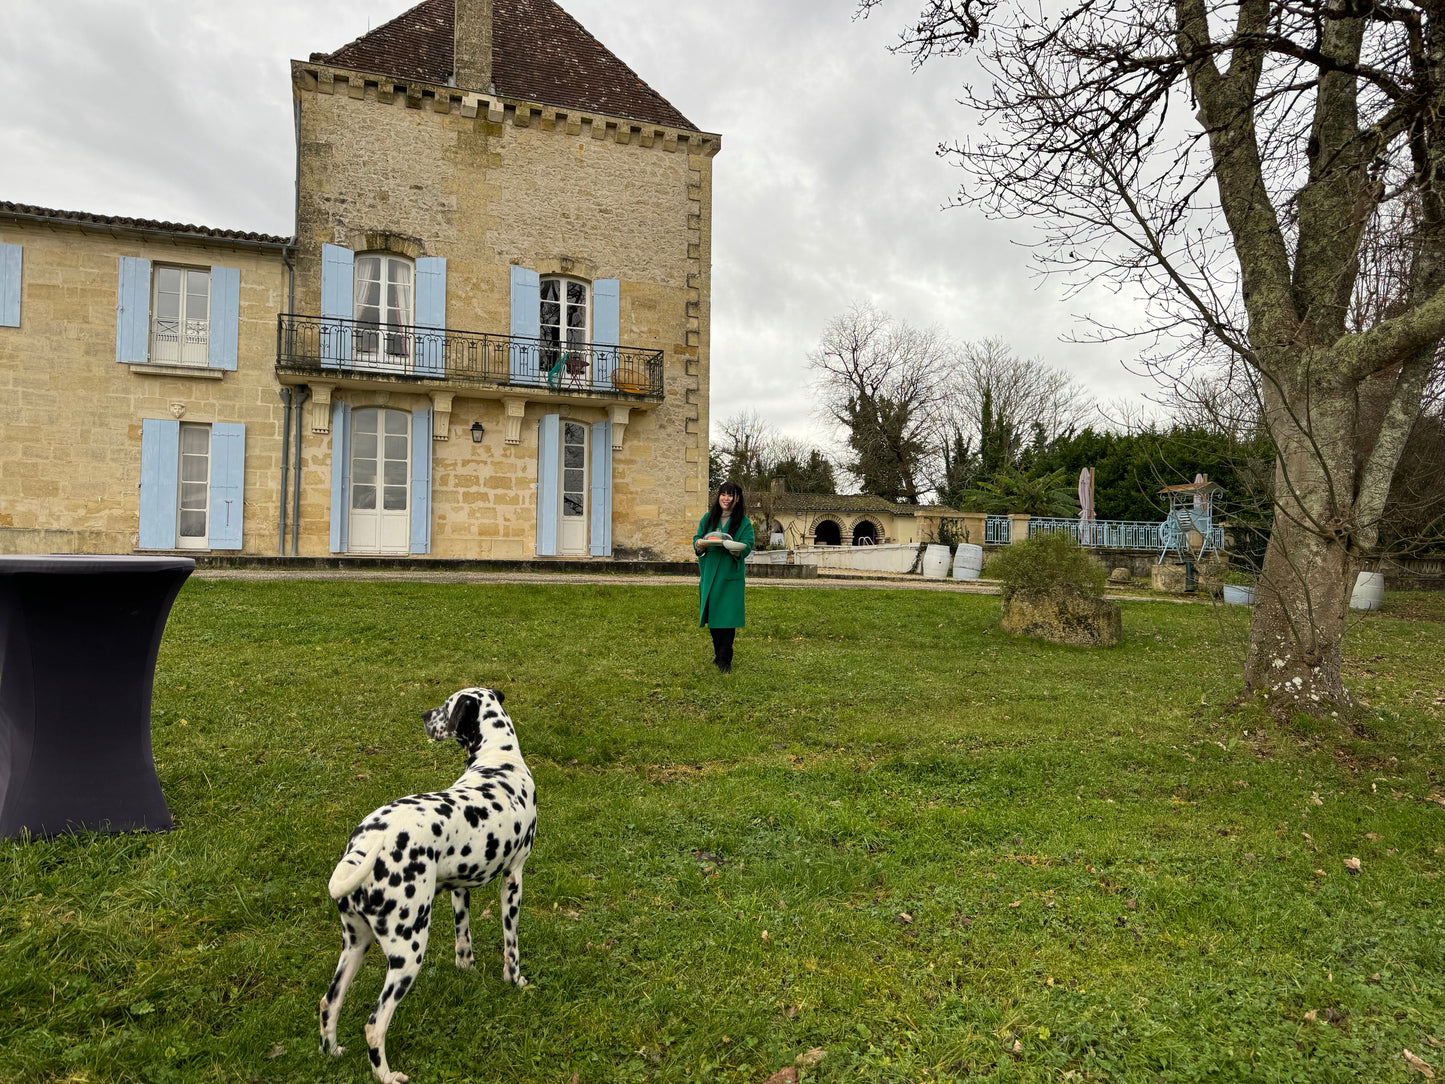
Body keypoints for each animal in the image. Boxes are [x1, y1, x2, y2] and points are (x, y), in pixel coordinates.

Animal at [319, 690, 540, 1081]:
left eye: (446, 705)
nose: (423, 715)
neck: (500, 759)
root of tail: (364, 842)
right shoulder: (513, 879)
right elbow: (511, 946)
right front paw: (516, 981)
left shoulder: (459, 889)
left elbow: (463, 944)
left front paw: (467, 972)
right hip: (408, 953)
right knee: (374, 1024)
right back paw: (387, 1075)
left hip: (355, 945)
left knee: (330, 1003)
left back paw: (333, 1052)